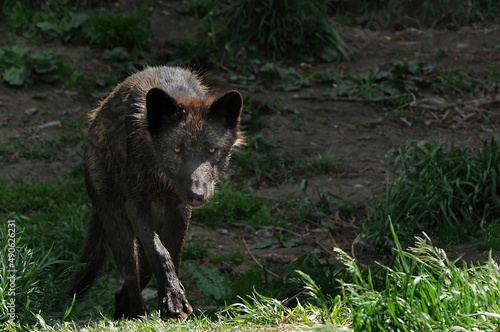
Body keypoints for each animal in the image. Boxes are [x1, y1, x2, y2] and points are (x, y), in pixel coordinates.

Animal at [67, 65, 244, 322]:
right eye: (176, 149)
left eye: (212, 150)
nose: (196, 194)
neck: (161, 179)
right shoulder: (135, 205)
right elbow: (161, 253)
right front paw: (173, 301)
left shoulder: (179, 210)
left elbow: (173, 255)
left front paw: (173, 297)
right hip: (120, 226)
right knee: (132, 276)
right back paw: (137, 315)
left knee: (139, 276)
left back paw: (123, 311)